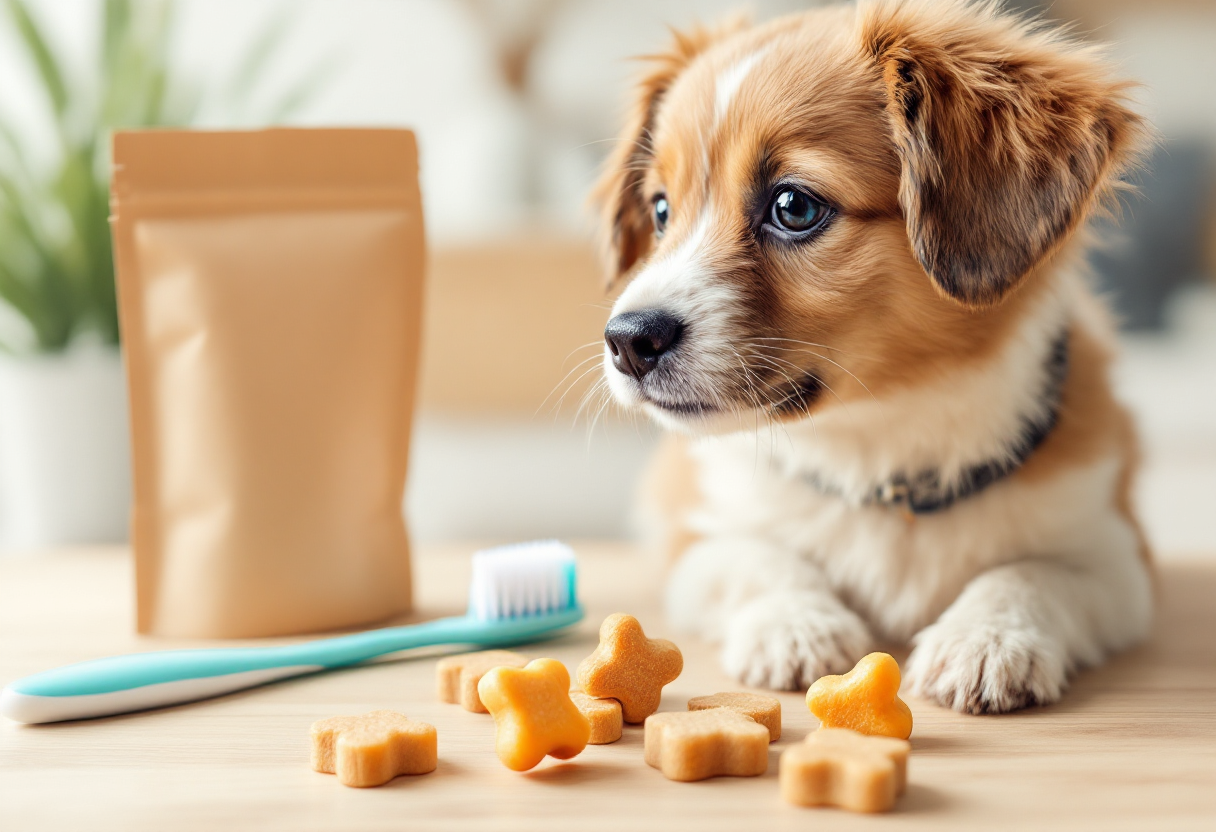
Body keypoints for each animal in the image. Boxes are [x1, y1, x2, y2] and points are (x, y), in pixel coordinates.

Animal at [593, 0, 1152, 715]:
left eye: (794, 206)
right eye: (661, 210)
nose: (627, 340)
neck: (877, 444)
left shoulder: (1117, 557)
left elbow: (1033, 573)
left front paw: (987, 637)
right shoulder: (696, 541)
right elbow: (754, 559)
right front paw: (796, 623)